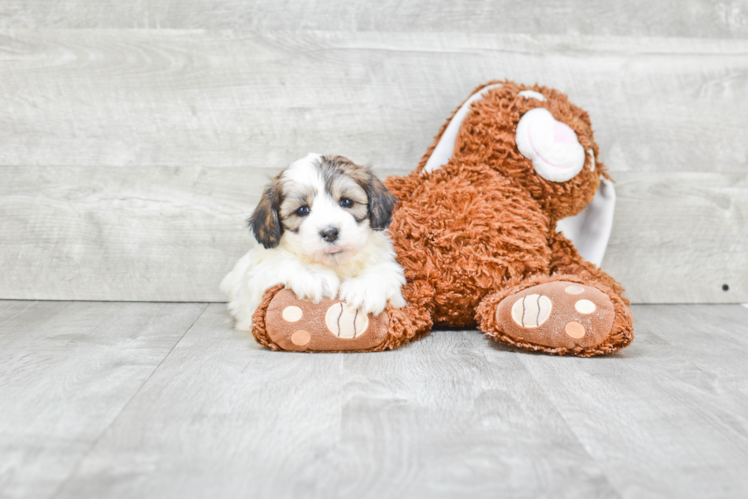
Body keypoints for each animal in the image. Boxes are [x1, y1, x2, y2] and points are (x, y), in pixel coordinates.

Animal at [221, 152, 406, 332]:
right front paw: (314, 275)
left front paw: (365, 287)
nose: (330, 232)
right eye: (302, 210)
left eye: (346, 201)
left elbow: (384, 271)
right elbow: (280, 262)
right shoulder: (257, 281)